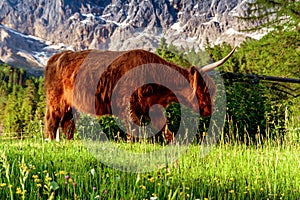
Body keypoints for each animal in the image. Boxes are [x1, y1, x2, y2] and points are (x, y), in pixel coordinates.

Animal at [44, 47, 236, 141]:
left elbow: (164, 129)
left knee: (67, 124)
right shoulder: (128, 104)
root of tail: (56, 57)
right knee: (52, 121)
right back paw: (51, 142)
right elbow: (134, 129)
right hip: (56, 100)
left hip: (71, 106)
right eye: (206, 89)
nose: (209, 109)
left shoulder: (153, 107)